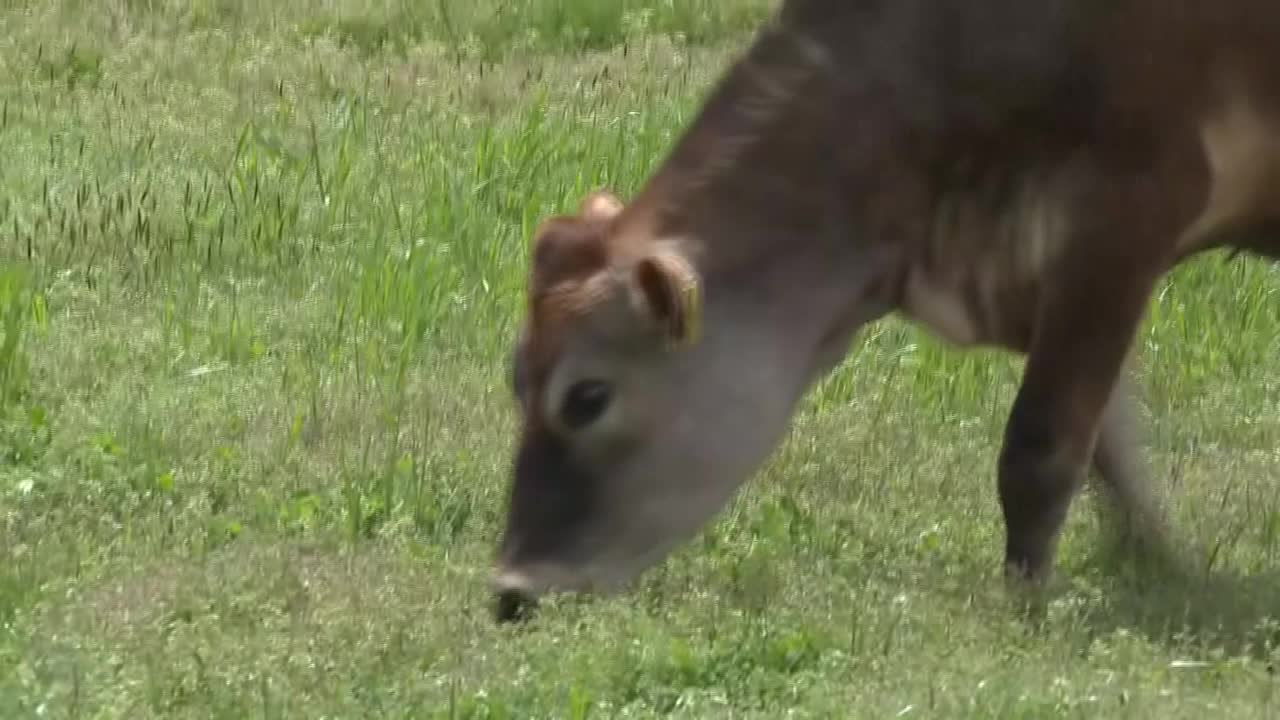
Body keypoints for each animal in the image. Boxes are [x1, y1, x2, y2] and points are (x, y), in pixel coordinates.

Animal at [486, 0, 1280, 620]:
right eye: (516, 379)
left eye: (587, 396)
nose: (511, 589)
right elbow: (1109, 445)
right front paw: (1162, 565)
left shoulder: (1124, 214)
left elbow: (1040, 447)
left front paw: (1023, 604)